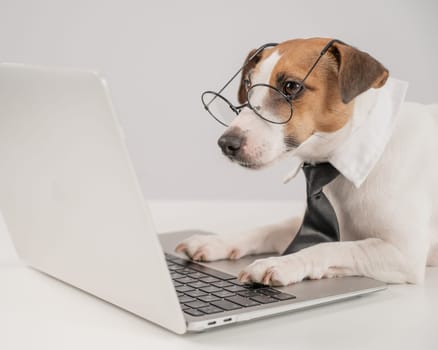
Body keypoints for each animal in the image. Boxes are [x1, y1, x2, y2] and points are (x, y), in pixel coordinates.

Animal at [175, 38, 438, 286]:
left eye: (291, 86)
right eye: (248, 84)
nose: (226, 143)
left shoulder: (403, 253)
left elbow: (331, 246)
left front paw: (281, 263)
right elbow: (268, 228)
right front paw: (216, 240)